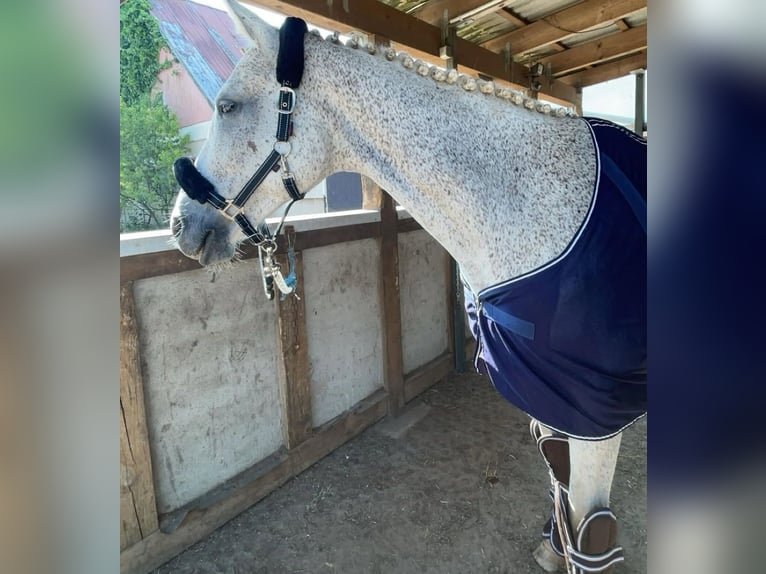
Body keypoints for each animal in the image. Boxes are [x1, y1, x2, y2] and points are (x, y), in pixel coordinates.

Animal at [170, 2, 646, 572]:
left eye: (227, 105)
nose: (179, 226)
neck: (534, 203)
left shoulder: (596, 417)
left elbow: (592, 530)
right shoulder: (553, 399)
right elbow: (564, 495)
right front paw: (554, 550)